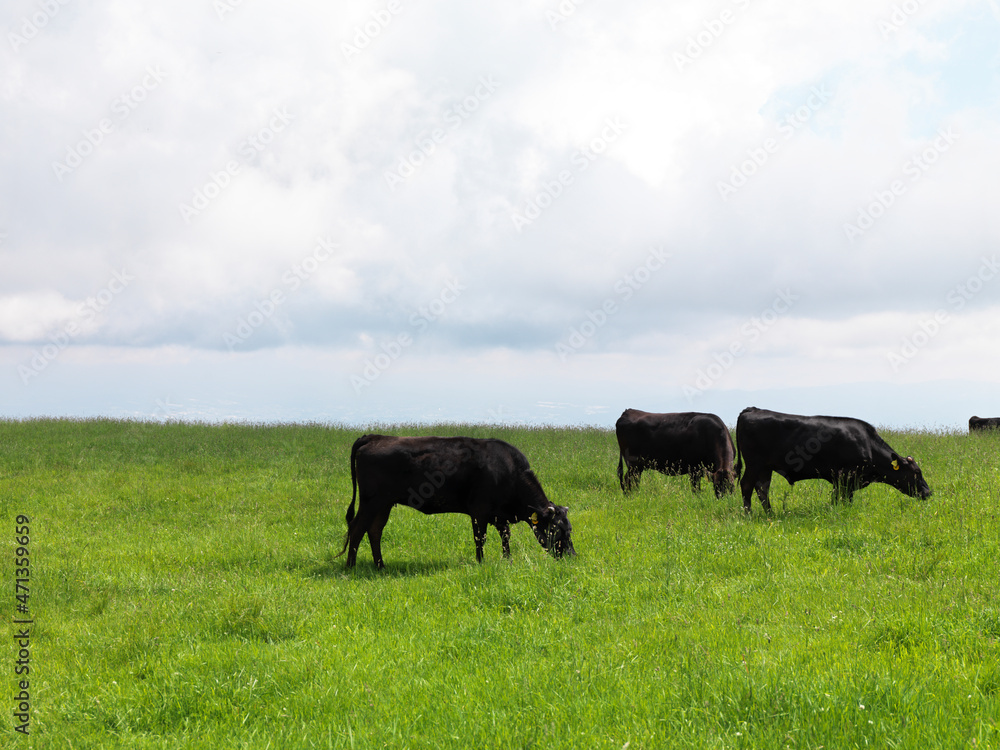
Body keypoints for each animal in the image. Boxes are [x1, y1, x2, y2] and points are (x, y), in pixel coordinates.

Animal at [336, 434, 576, 568]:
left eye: (569, 529)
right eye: (557, 529)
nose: (572, 556)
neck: (508, 470)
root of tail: (375, 436)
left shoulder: (499, 515)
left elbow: (505, 536)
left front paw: (507, 560)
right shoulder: (480, 511)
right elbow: (480, 538)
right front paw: (481, 562)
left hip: (384, 504)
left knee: (374, 531)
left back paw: (380, 565)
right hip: (371, 502)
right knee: (357, 529)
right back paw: (351, 567)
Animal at [612, 408, 740, 496]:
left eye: (732, 488)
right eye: (716, 487)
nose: (724, 500)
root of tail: (628, 411)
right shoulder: (694, 469)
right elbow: (696, 489)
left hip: (638, 466)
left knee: (633, 480)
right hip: (633, 464)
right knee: (628, 480)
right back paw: (631, 496)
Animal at [732, 408, 932, 516]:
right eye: (916, 472)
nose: (928, 492)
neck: (867, 444)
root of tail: (752, 409)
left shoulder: (843, 480)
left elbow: (842, 499)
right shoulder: (845, 476)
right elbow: (841, 499)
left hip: (765, 468)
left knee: (762, 489)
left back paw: (770, 514)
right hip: (754, 464)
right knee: (747, 485)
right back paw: (749, 514)